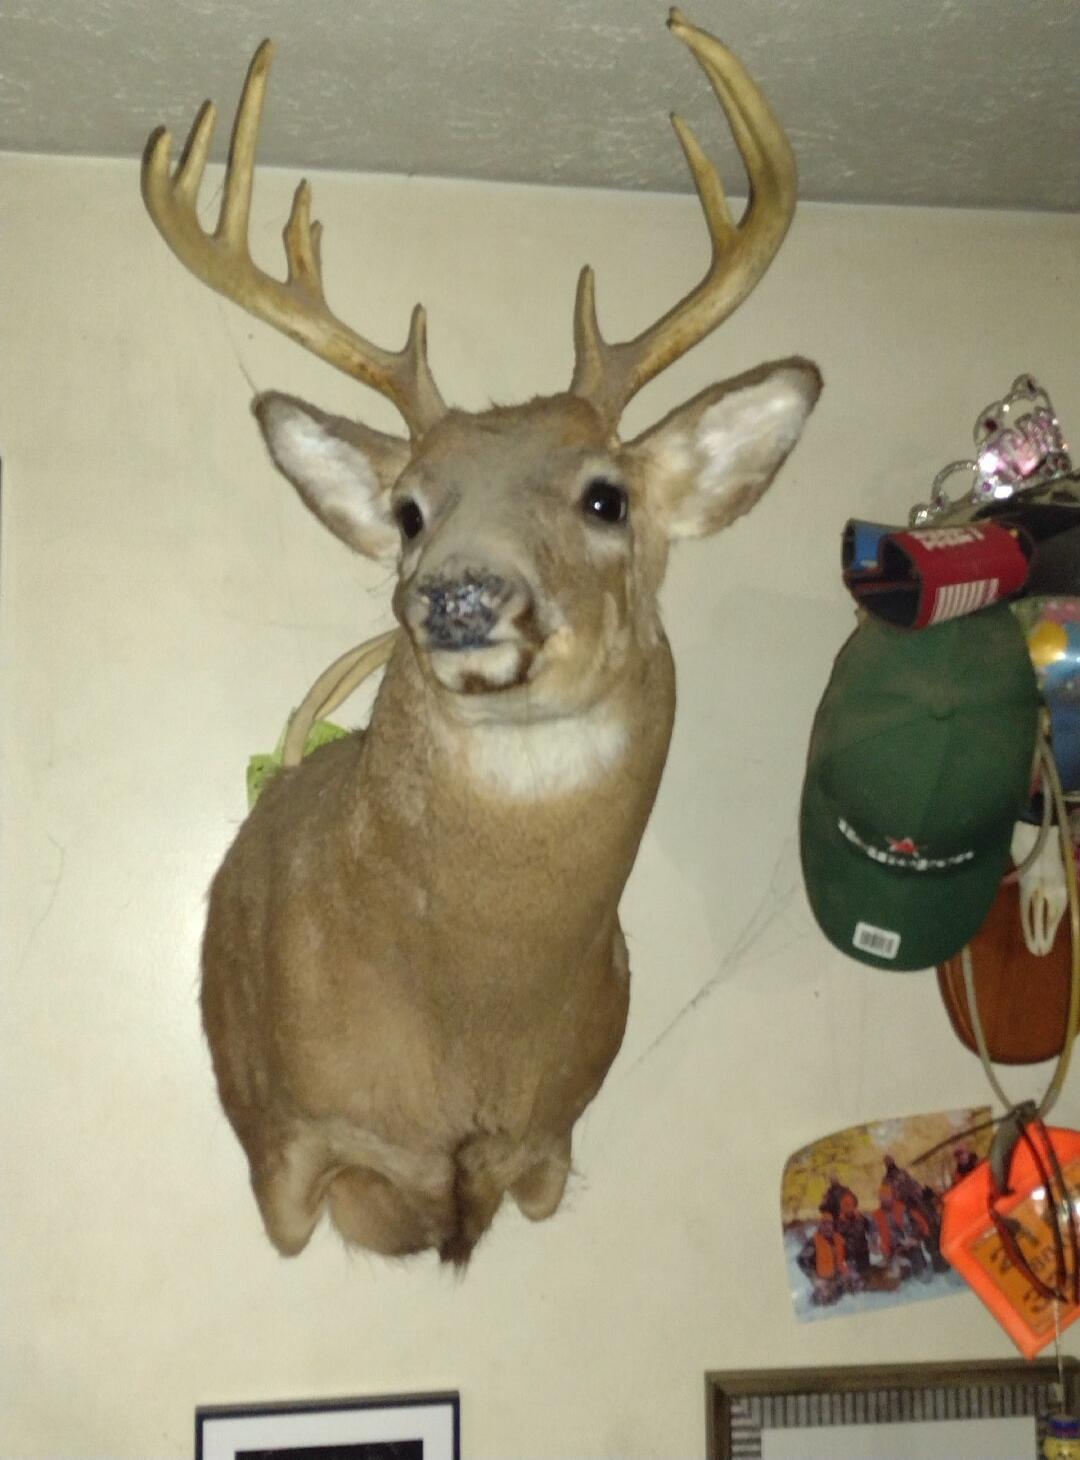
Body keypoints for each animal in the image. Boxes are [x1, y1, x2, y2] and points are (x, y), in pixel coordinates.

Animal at [141, 9, 821, 1264]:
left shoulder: (554, 1142)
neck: (471, 1030)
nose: (458, 595)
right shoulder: (285, 1145)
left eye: (607, 494)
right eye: (411, 508)